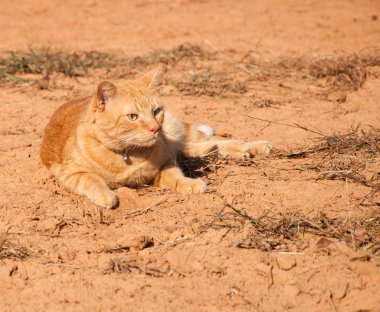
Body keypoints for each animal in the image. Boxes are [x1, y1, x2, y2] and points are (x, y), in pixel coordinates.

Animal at [40, 64, 272, 208]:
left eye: (156, 111)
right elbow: (92, 179)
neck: (126, 155)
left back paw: (253, 146)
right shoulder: (69, 172)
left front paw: (190, 184)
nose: (154, 129)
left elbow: (176, 175)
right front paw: (107, 195)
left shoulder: (166, 162)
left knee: (201, 142)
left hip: (175, 136)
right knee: (193, 149)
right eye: (133, 116)